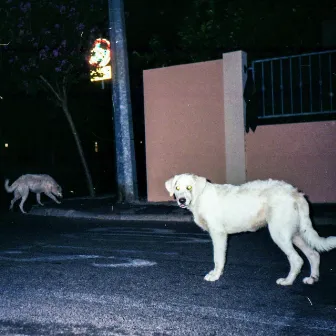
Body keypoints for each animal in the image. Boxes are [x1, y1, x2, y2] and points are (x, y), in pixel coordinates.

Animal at [165, 173, 336, 286]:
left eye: (189, 187)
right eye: (177, 188)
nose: (182, 200)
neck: (200, 197)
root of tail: (295, 193)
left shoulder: (219, 234)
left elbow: (218, 259)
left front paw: (215, 276)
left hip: (279, 234)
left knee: (297, 259)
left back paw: (287, 282)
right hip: (295, 234)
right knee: (314, 254)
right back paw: (312, 278)